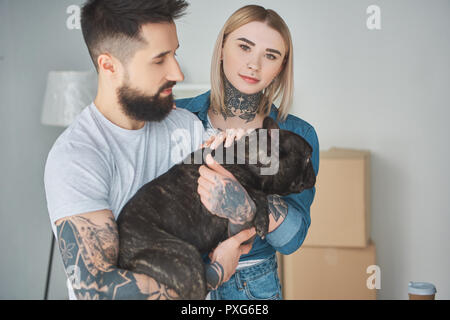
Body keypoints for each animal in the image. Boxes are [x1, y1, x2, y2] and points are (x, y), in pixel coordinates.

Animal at [118, 117, 314, 300]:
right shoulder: (228, 183)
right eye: (307, 158)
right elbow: (256, 192)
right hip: (186, 260)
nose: (314, 174)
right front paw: (263, 221)